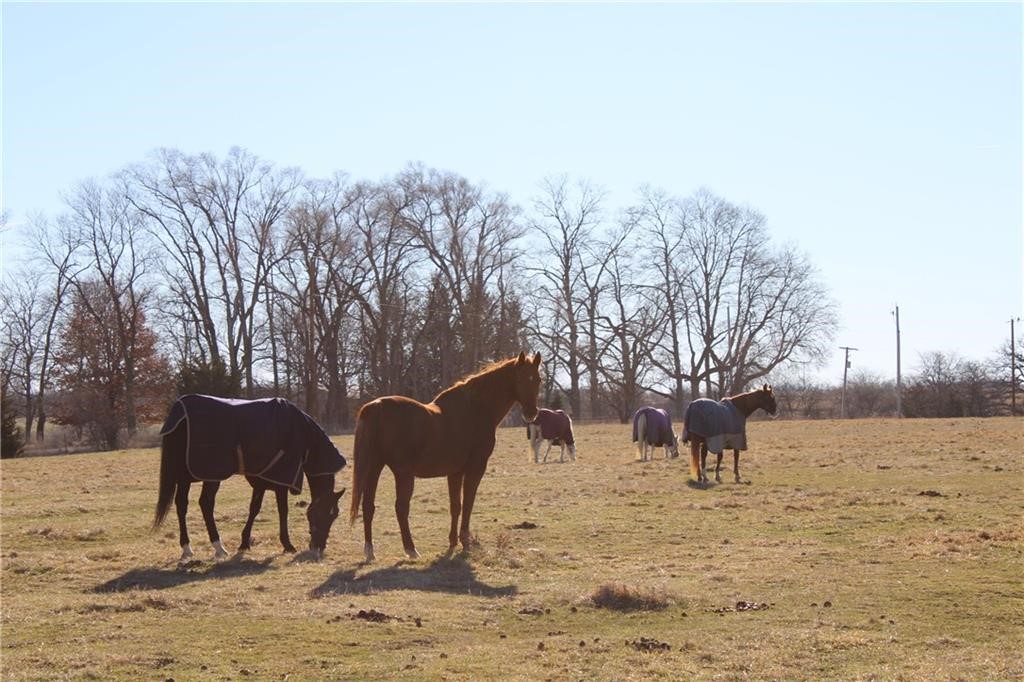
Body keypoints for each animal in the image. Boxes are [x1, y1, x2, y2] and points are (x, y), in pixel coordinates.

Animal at [149, 391, 346, 561]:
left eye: (334, 515)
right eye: (324, 514)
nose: (319, 547)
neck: (302, 435)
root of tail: (179, 413)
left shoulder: (261, 480)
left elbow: (254, 508)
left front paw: (244, 542)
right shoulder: (280, 479)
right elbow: (281, 510)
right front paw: (287, 545)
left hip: (194, 477)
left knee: (184, 504)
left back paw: (190, 548)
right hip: (205, 475)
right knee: (202, 504)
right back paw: (215, 547)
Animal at [352, 348, 544, 561]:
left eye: (538, 380)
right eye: (519, 379)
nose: (531, 413)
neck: (475, 409)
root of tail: (376, 406)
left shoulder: (455, 472)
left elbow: (455, 506)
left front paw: (453, 542)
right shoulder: (475, 468)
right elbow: (468, 504)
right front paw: (465, 542)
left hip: (374, 468)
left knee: (368, 506)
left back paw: (370, 551)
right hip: (402, 473)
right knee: (400, 508)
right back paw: (411, 549)